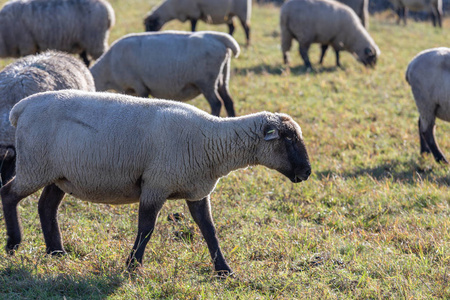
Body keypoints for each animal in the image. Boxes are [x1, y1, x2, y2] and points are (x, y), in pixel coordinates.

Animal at [0, 89, 312, 276]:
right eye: (288, 139)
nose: (307, 172)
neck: (212, 141)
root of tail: (22, 107)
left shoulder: (196, 191)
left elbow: (209, 230)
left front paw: (224, 270)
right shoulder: (156, 184)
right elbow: (146, 228)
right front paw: (132, 267)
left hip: (59, 174)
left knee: (46, 207)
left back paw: (56, 252)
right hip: (34, 166)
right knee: (8, 194)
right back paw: (14, 243)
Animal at [89, 30, 241, 117]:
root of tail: (218, 38)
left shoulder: (139, 85)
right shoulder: (128, 90)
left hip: (206, 81)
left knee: (216, 103)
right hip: (222, 77)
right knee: (228, 101)